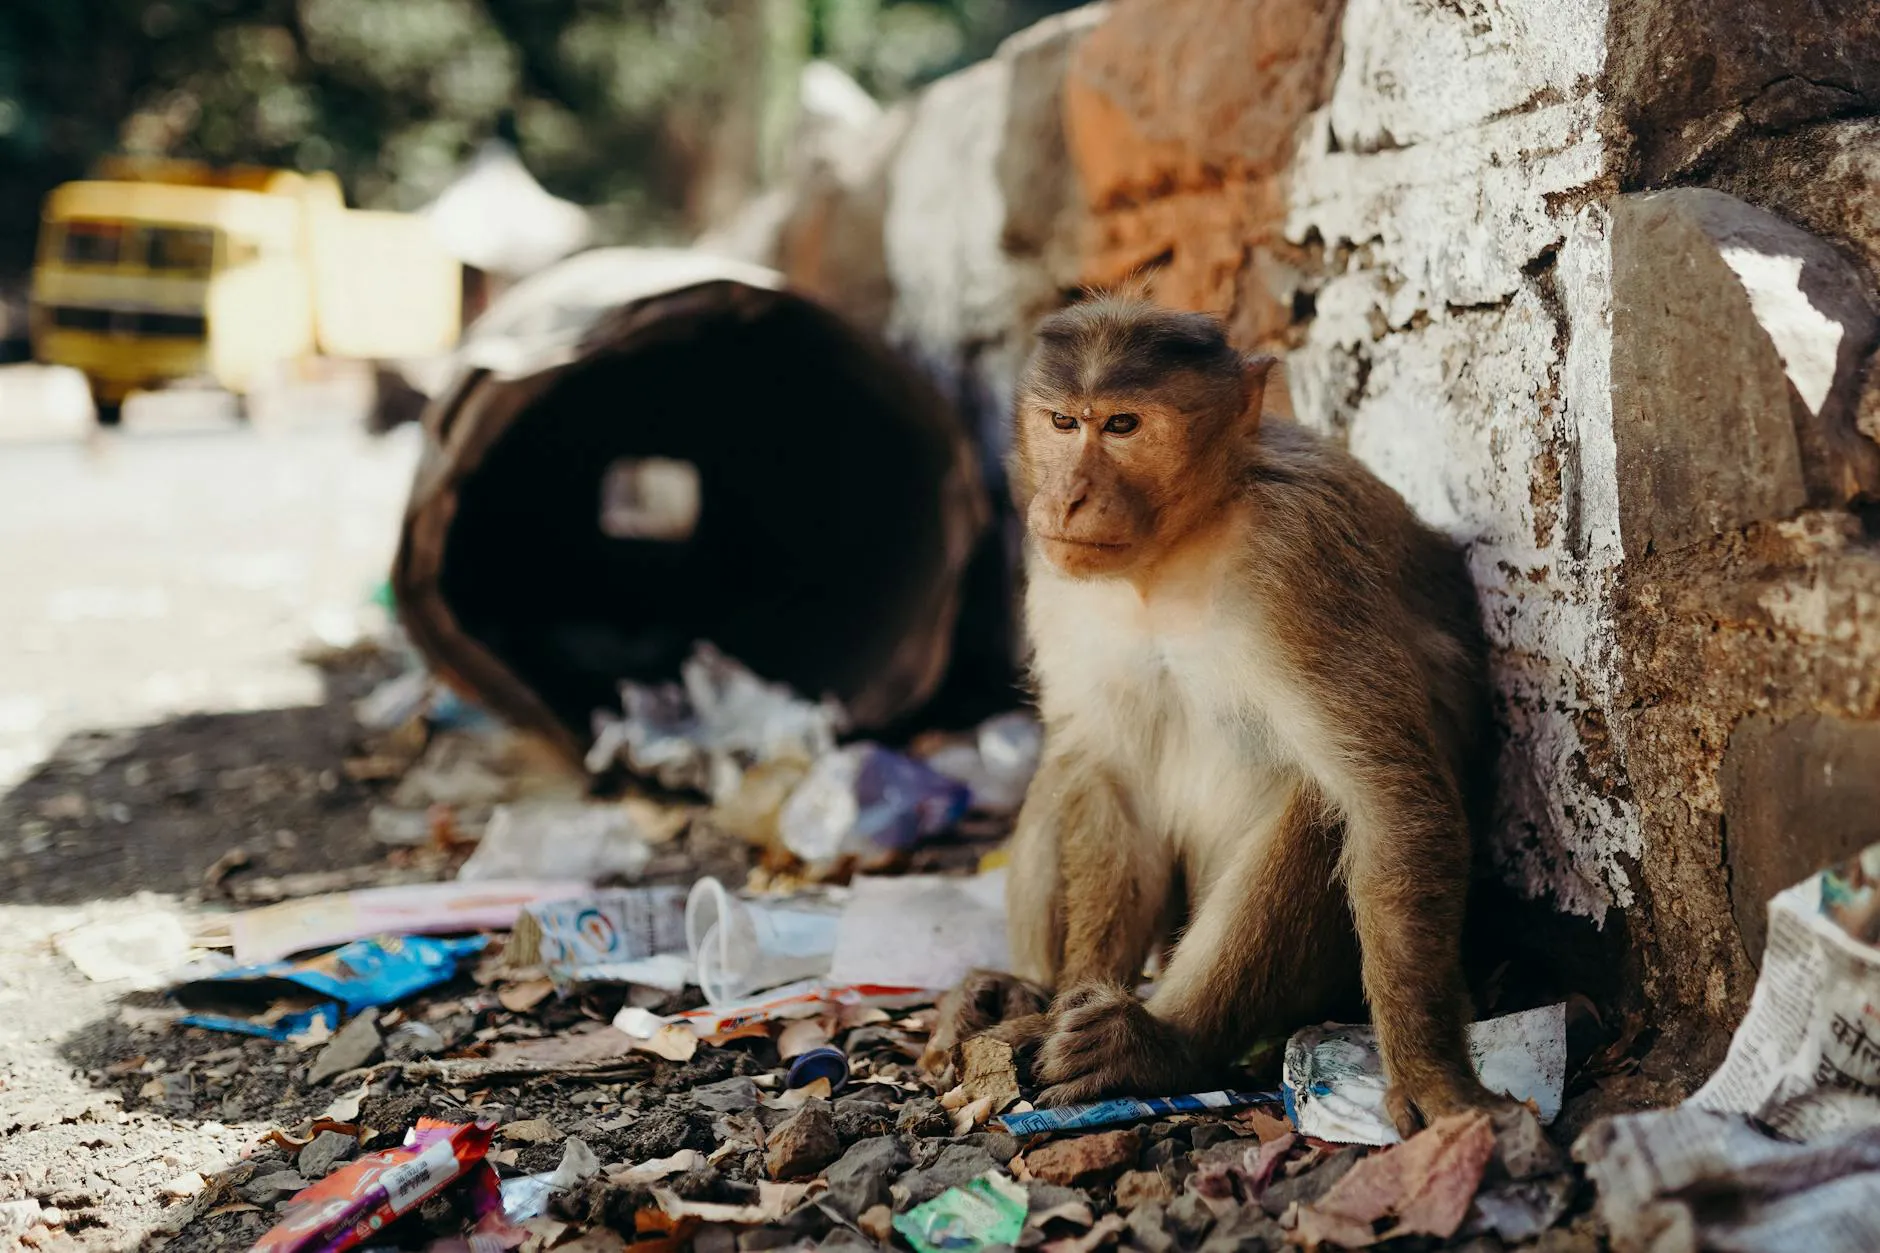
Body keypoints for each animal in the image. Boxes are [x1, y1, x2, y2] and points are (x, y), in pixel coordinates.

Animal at [924, 285, 1511, 1128]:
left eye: (1123, 426)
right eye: (1063, 422)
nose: (1066, 496)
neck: (1175, 548)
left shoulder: (1297, 562)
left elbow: (1390, 801)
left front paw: (1433, 1071)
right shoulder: (1056, 575)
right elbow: (1110, 773)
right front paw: (1072, 991)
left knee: (1317, 806)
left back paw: (1160, 1042)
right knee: (1068, 765)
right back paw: (1020, 992)